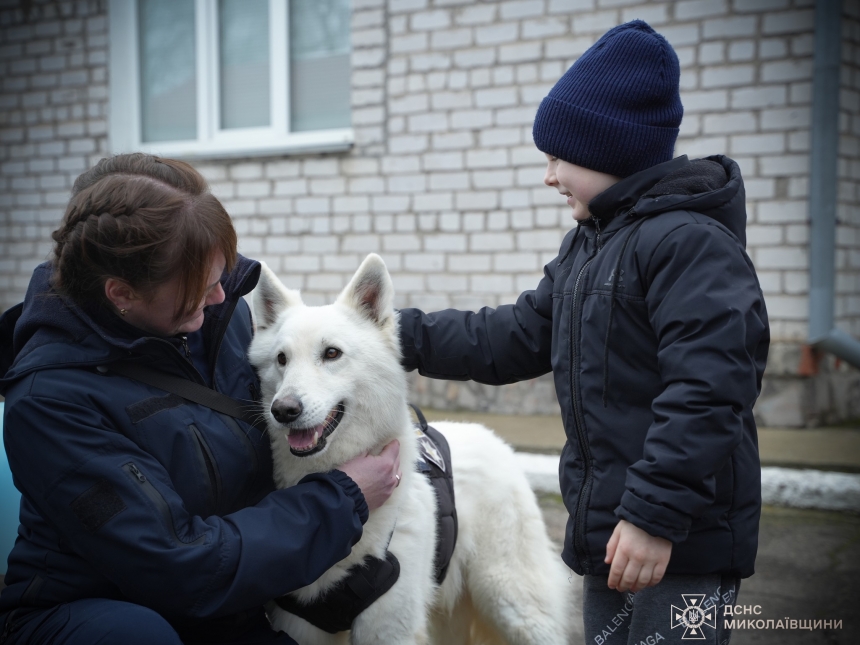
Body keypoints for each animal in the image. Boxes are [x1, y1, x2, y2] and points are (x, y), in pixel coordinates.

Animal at [249, 254, 572, 640]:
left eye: (331, 353)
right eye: (282, 359)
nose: (283, 410)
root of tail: (493, 438)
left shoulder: (388, 628)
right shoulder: (300, 627)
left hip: (514, 605)